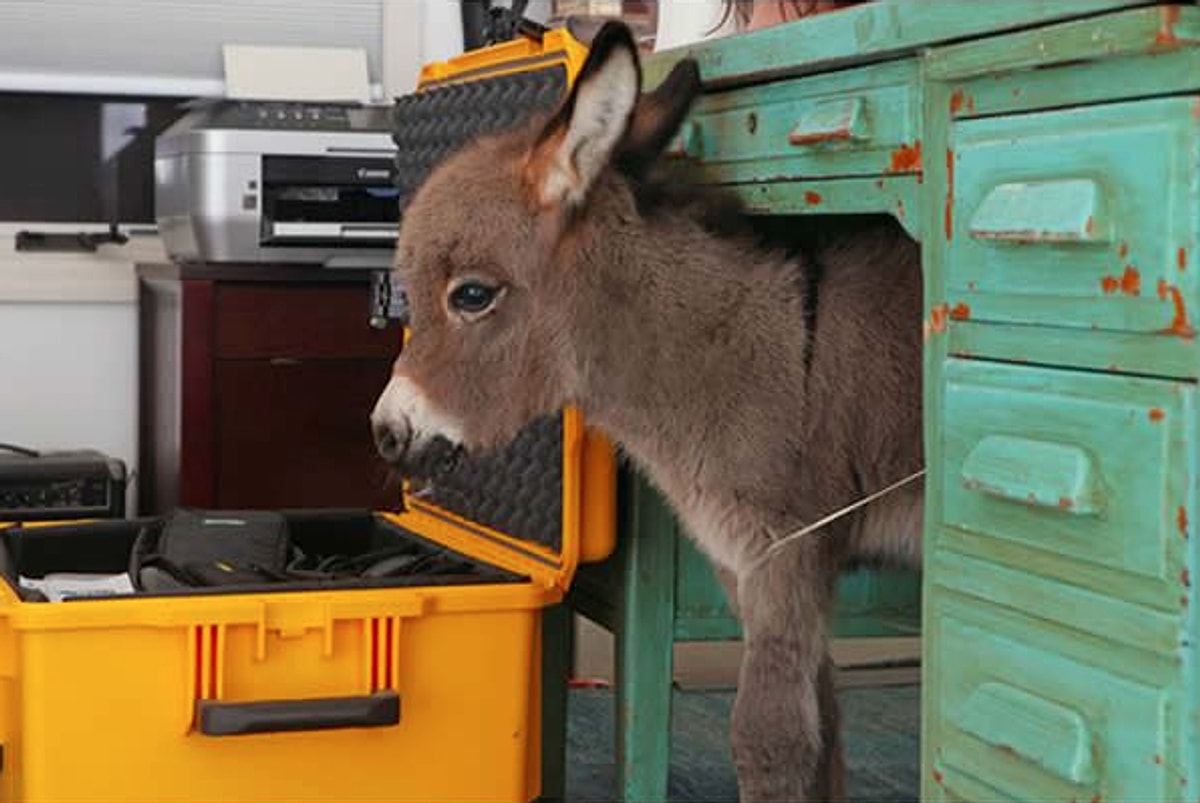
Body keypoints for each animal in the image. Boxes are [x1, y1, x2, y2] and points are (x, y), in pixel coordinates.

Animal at [369, 20, 921, 801]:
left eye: (472, 295)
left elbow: (770, 740)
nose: (386, 434)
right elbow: (826, 734)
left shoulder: (784, 552)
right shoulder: (745, 564)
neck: (755, 355)